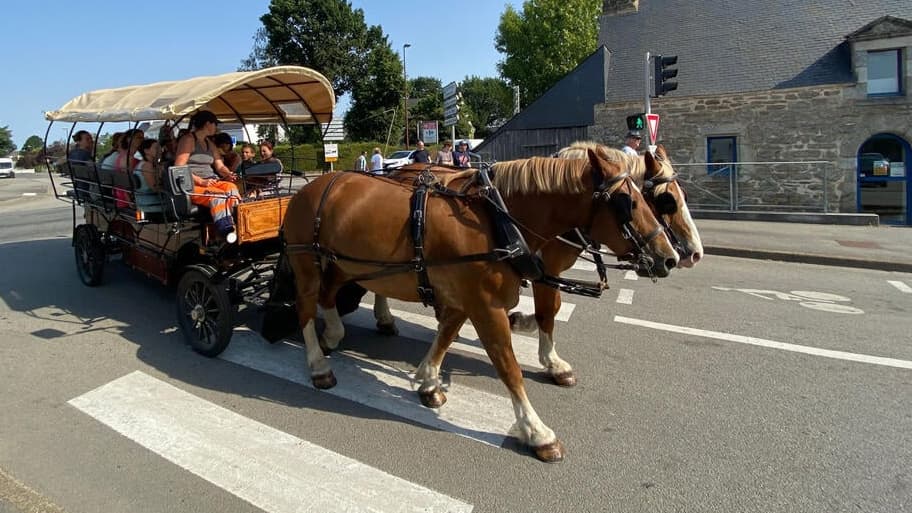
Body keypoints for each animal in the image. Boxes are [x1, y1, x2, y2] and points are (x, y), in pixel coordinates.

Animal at [280, 147, 678, 461]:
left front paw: (428, 380)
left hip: (344, 264)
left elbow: (446, 334)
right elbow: (510, 369)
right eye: (629, 203)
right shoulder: (486, 307)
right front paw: (537, 431)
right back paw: (318, 364)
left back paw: (335, 334)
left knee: (330, 295)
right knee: (305, 307)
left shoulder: (465, 298)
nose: (671, 257)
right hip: (306, 262)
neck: (496, 218)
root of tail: (310, 186)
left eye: (649, 199)